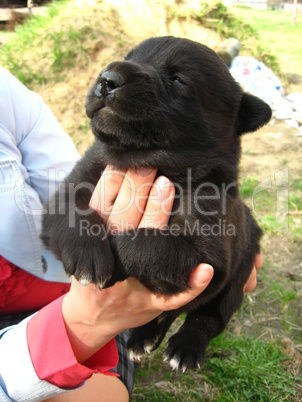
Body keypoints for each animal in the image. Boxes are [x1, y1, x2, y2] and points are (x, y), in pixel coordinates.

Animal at [42, 37, 272, 370]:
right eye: (129, 57)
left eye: (177, 79)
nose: (107, 79)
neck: (145, 162)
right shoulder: (73, 186)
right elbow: (71, 213)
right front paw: (89, 255)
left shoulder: (208, 257)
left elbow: (146, 245)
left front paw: (116, 256)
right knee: (166, 313)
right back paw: (142, 338)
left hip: (240, 270)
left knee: (208, 316)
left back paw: (185, 349)